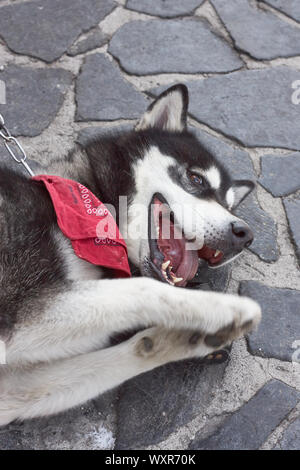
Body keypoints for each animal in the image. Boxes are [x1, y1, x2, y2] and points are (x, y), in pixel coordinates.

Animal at [0, 85, 260, 426]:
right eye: (196, 179)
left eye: (229, 205)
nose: (245, 234)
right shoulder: (16, 313)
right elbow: (143, 288)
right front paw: (220, 308)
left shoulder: (13, 387)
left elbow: (134, 348)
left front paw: (189, 335)